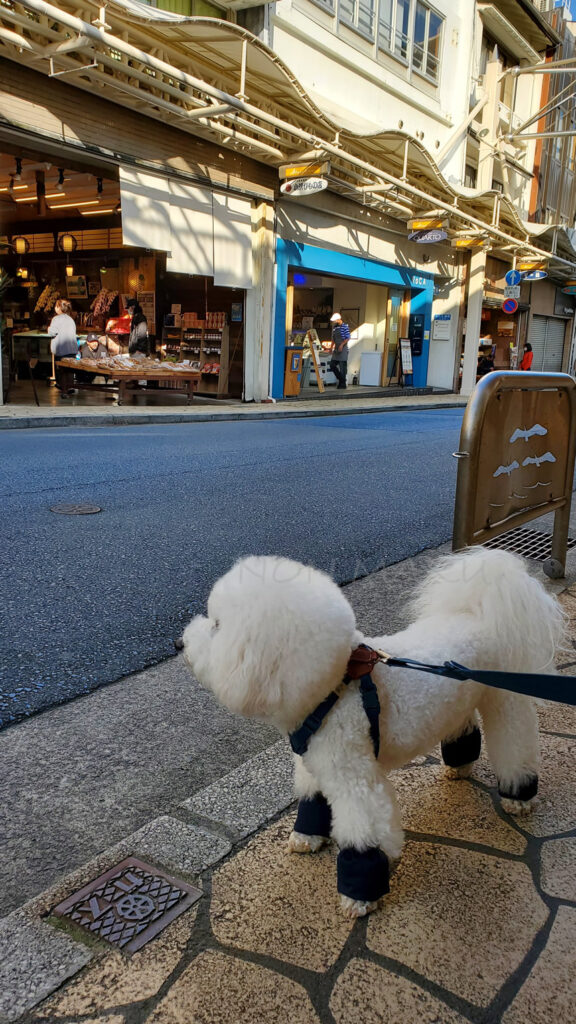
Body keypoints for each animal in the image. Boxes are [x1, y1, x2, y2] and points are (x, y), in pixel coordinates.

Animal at [179, 552, 561, 921]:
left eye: (217, 625)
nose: (180, 641)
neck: (334, 688)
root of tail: (478, 613)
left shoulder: (355, 777)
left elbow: (365, 833)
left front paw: (359, 893)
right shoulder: (317, 761)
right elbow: (313, 798)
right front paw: (307, 835)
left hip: (504, 700)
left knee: (515, 742)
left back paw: (518, 794)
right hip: (460, 699)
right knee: (464, 725)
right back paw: (459, 764)